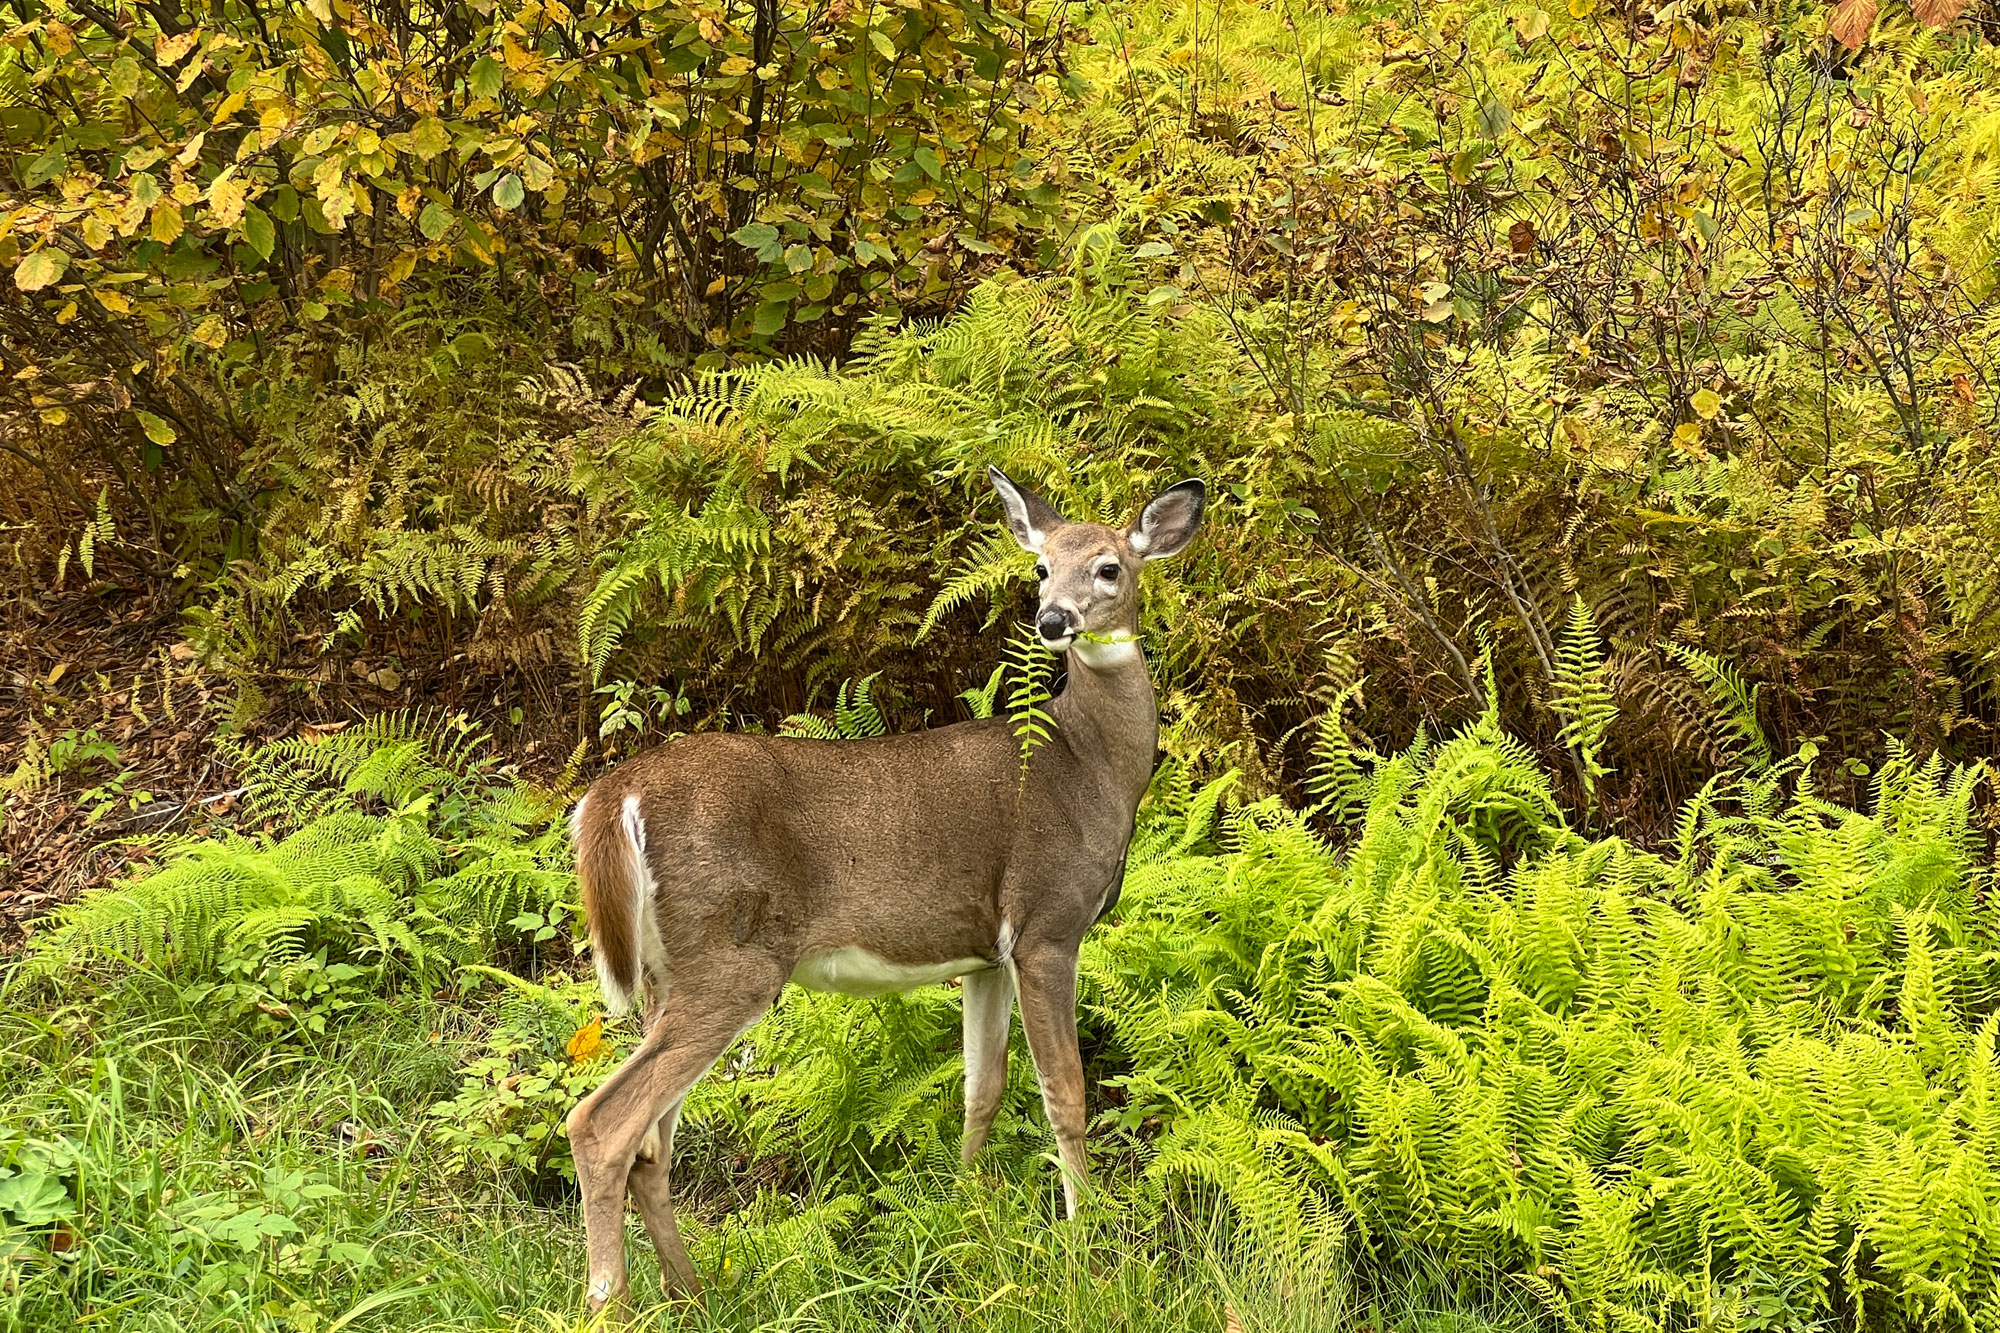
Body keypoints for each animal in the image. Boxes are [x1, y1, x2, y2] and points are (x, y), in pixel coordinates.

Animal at [563, 467, 1206, 1311]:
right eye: (1039, 568)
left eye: (1108, 567)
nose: (1053, 619)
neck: (1089, 764)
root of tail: (615, 792)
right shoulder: (1047, 923)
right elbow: (1065, 1092)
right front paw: (1084, 1251)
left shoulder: (986, 953)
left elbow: (982, 1086)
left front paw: (969, 1213)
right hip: (731, 961)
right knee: (602, 1123)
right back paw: (611, 1301)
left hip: (670, 974)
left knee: (648, 1145)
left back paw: (695, 1293)